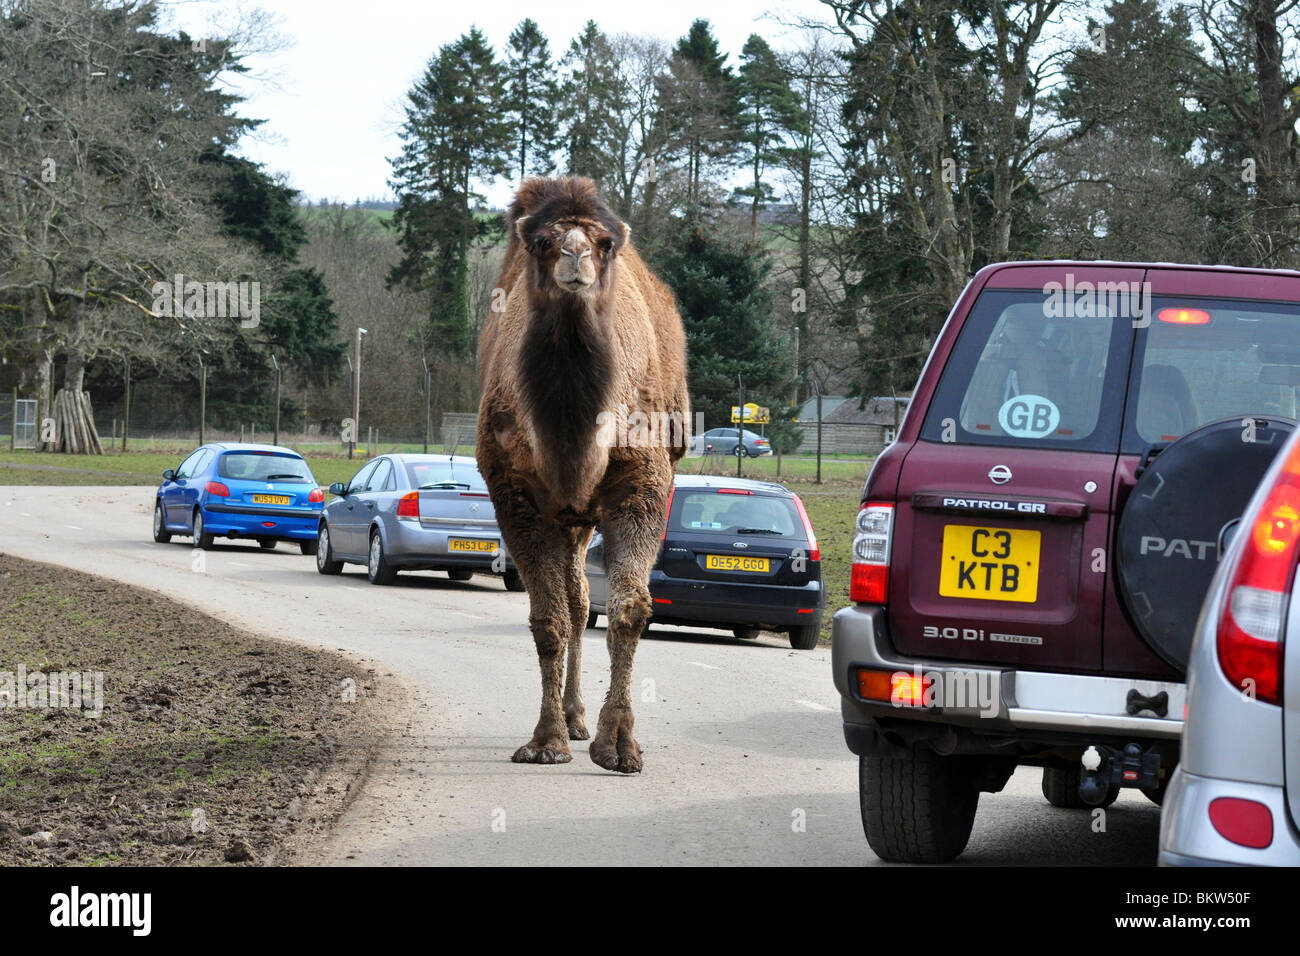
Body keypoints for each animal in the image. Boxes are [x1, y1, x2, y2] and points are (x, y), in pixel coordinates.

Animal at [478, 179, 691, 775]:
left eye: (604, 243)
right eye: (542, 242)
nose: (575, 255)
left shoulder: (643, 483)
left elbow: (631, 609)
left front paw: (618, 744)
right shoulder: (517, 496)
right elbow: (548, 618)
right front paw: (545, 740)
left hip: (588, 511)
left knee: (583, 600)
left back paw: (581, 721)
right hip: (571, 515)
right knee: (574, 603)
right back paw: (570, 719)